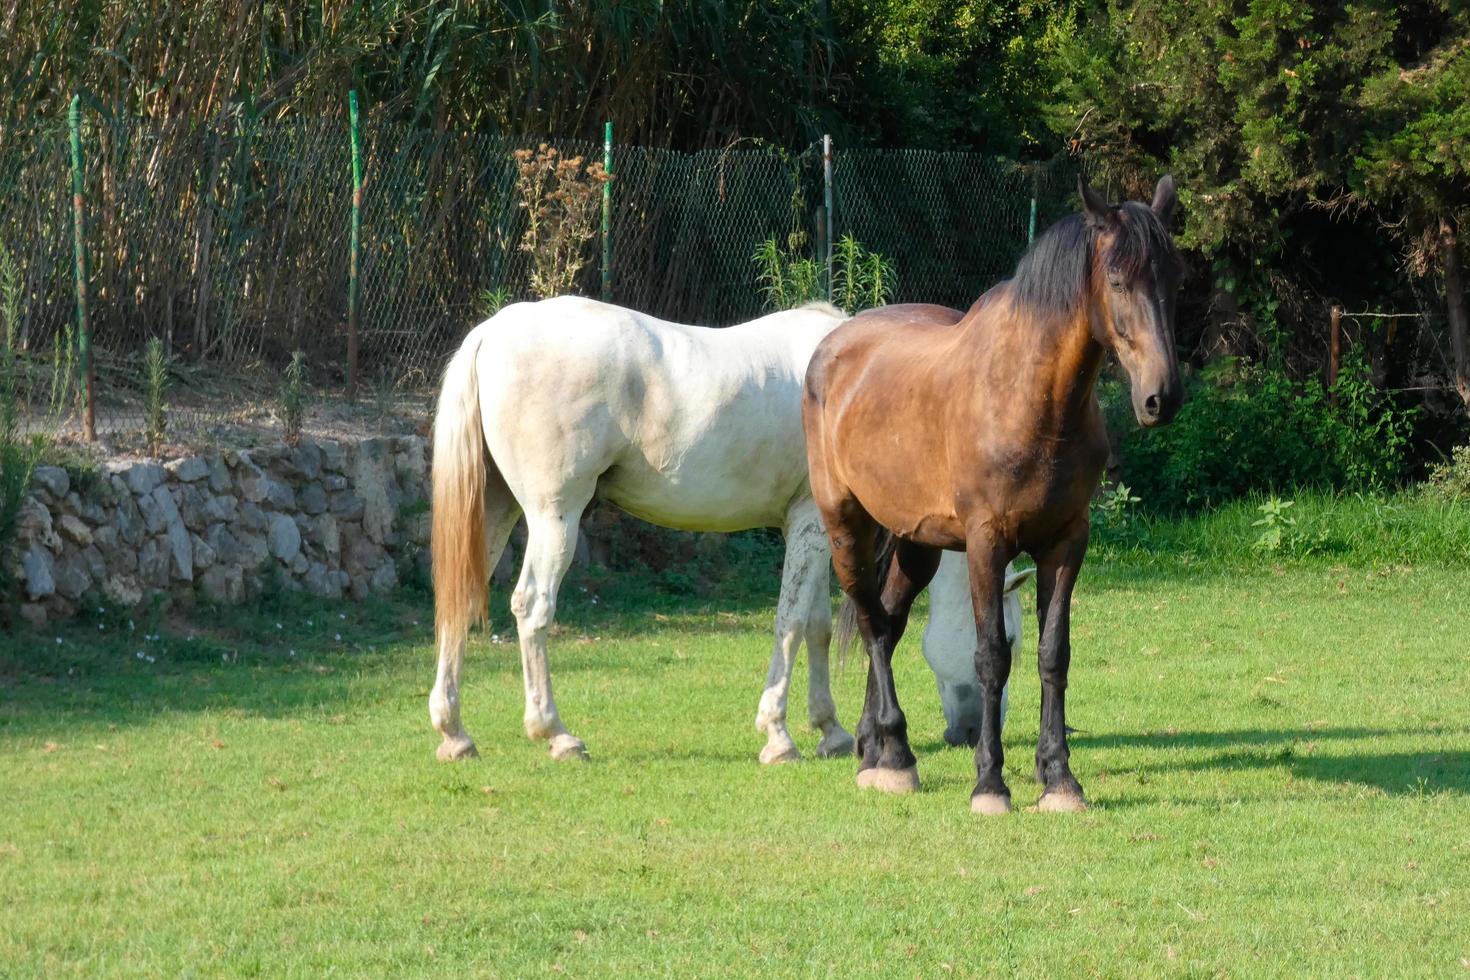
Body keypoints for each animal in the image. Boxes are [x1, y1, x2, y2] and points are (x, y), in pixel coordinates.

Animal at [429, 295, 1017, 769]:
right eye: (1009, 637)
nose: (970, 733)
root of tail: (493, 332)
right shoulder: (809, 522)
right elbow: (790, 624)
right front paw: (778, 737)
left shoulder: (818, 533)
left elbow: (817, 626)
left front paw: (829, 730)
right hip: (555, 517)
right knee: (533, 608)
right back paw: (556, 734)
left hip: (497, 510)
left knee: (458, 601)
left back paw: (455, 734)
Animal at [805, 176, 1181, 811]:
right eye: (1117, 281)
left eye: (1175, 278)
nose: (1162, 397)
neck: (1031, 400)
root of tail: (832, 346)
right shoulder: (987, 543)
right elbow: (990, 658)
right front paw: (989, 783)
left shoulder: (1066, 543)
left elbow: (1054, 655)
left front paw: (1059, 778)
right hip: (844, 526)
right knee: (873, 624)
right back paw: (897, 756)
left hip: (917, 545)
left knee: (890, 619)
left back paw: (874, 750)